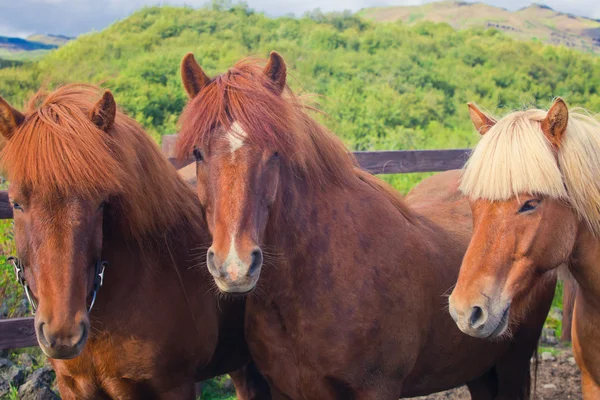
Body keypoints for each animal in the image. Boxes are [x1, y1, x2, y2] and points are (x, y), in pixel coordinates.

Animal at [176, 51, 556, 398]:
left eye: (275, 153)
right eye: (198, 153)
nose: (235, 267)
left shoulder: (376, 388)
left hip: (511, 365)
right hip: (477, 369)